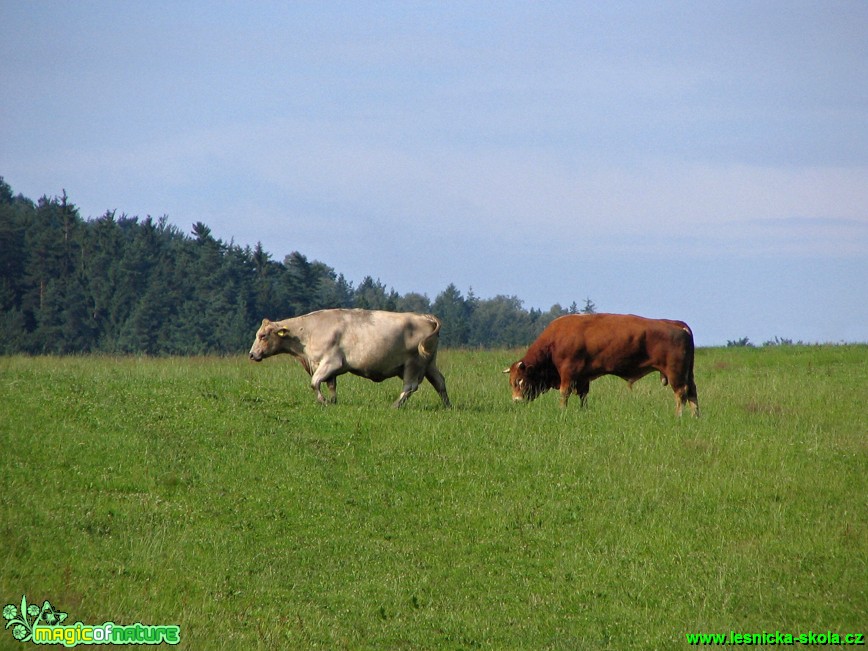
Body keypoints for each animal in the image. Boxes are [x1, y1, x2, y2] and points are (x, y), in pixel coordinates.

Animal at [508, 314, 700, 418]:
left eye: (520, 381)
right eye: (511, 382)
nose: (516, 401)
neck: (555, 341)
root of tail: (677, 324)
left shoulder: (568, 374)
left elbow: (564, 394)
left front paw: (562, 410)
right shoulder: (582, 378)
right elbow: (583, 396)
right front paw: (583, 411)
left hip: (675, 374)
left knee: (681, 394)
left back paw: (678, 416)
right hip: (688, 373)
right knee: (692, 392)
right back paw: (695, 416)